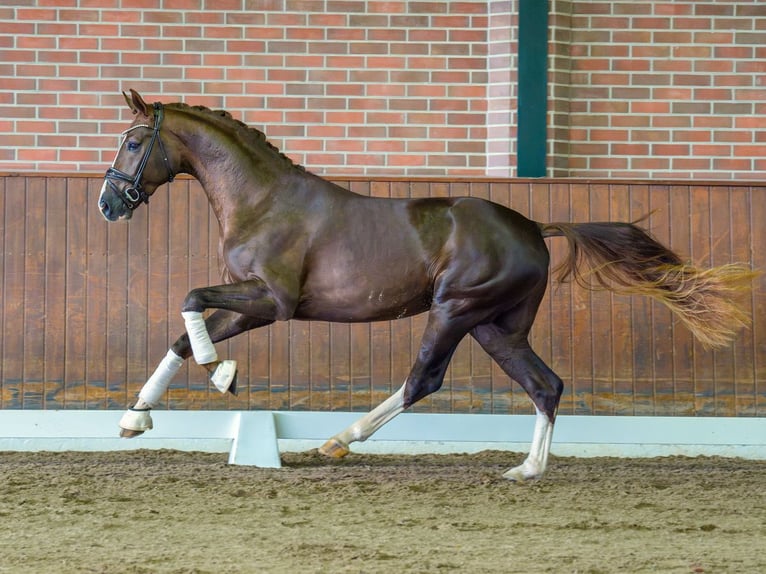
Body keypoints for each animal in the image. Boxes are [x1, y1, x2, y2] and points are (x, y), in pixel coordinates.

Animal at [102, 91, 756, 482]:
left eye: (133, 142)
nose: (110, 204)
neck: (264, 202)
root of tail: (534, 227)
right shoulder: (250, 301)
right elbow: (182, 333)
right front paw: (136, 419)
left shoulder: (274, 301)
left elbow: (189, 301)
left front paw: (223, 375)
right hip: (497, 327)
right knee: (545, 385)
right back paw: (527, 470)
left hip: (456, 310)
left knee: (425, 379)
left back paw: (338, 441)